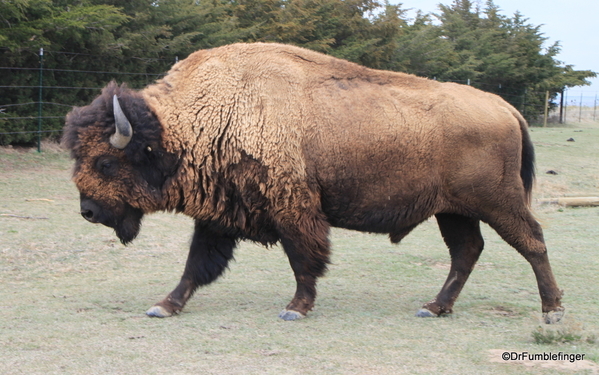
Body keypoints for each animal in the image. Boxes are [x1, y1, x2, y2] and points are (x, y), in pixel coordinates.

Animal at [63, 41, 564, 324]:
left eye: (105, 162)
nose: (87, 211)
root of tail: (504, 106)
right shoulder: (220, 215)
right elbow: (196, 265)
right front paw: (165, 305)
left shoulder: (294, 208)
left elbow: (304, 259)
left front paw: (295, 308)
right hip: (453, 211)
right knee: (467, 252)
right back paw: (434, 307)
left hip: (497, 202)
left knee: (533, 241)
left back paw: (552, 312)